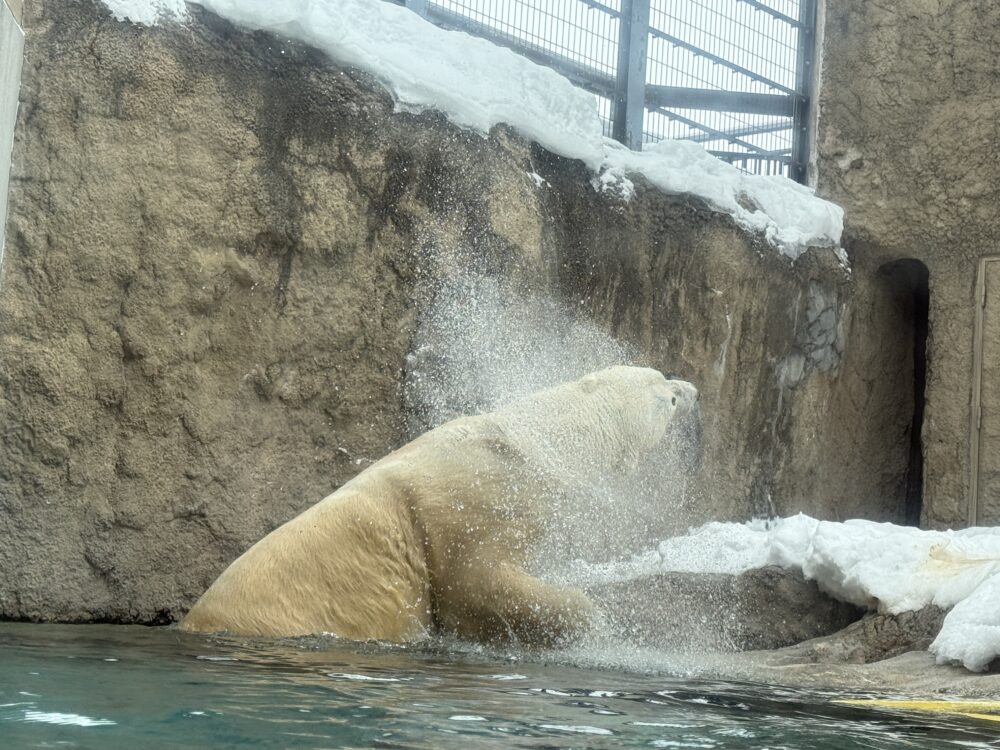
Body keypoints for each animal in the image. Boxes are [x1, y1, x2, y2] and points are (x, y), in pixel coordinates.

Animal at [178, 368, 696, 644]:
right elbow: (477, 582)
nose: (693, 389)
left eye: (660, 374)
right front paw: (592, 623)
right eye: (668, 397)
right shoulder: (472, 501)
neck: (528, 443)